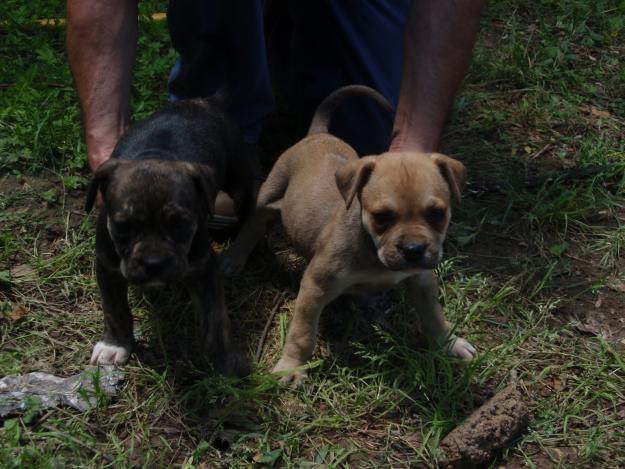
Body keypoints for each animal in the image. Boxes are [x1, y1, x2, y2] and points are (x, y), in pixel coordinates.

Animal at [85, 99, 251, 376]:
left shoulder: (205, 267)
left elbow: (216, 318)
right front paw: (115, 344)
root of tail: (204, 101)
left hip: (241, 184)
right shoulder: (107, 266)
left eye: (180, 224)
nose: (154, 263)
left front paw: (225, 360)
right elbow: (115, 309)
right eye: (123, 226)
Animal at [222, 85, 476, 384]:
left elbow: (434, 315)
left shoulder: (422, 280)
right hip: (270, 193)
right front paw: (292, 366)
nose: (413, 250)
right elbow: (302, 334)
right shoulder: (315, 286)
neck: (373, 252)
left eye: (437, 213)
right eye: (382, 217)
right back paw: (234, 259)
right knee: (253, 226)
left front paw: (449, 343)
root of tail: (318, 133)